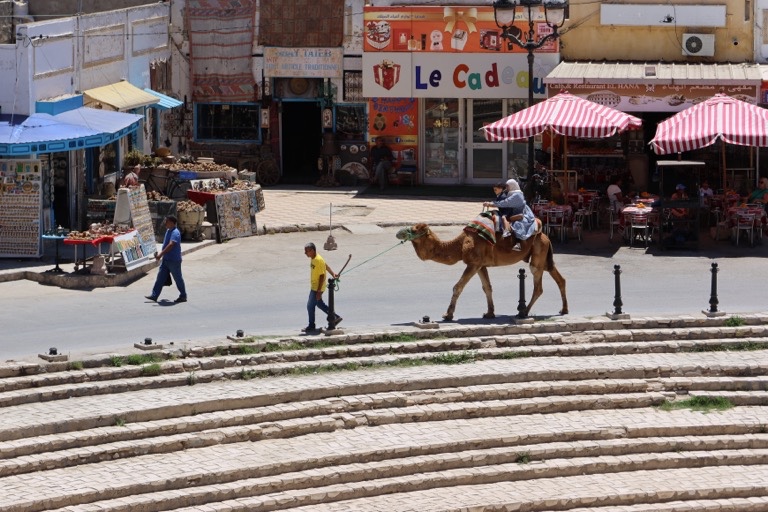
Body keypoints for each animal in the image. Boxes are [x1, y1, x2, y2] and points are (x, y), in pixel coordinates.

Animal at [396, 223, 568, 320]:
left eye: (414, 229)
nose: (398, 232)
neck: (460, 245)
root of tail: (546, 236)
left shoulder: (473, 263)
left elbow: (458, 287)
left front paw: (448, 315)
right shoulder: (480, 265)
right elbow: (487, 287)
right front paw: (489, 313)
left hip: (538, 254)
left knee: (538, 284)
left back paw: (524, 312)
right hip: (544, 257)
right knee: (560, 278)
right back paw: (564, 309)